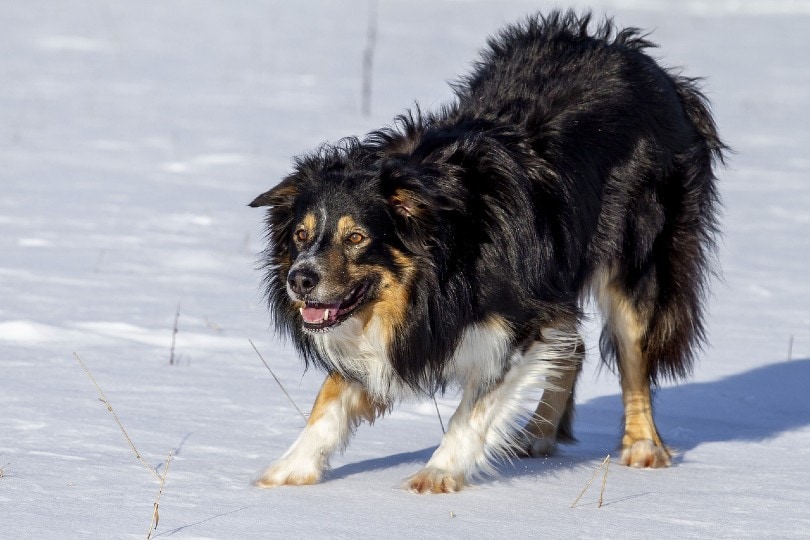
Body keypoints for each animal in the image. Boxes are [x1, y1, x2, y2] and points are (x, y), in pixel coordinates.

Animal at [249, 11, 724, 494]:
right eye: (301, 235)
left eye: (357, 238)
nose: (300, 279)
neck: (442, 265)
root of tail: (650, 66)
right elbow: (330, 397)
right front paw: (288, 470)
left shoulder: (520, 317)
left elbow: (474, 408)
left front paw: (437, 474)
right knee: (572, 345)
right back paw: (537, 435)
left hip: (637, 252)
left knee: (633, 352)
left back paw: (643, 446)